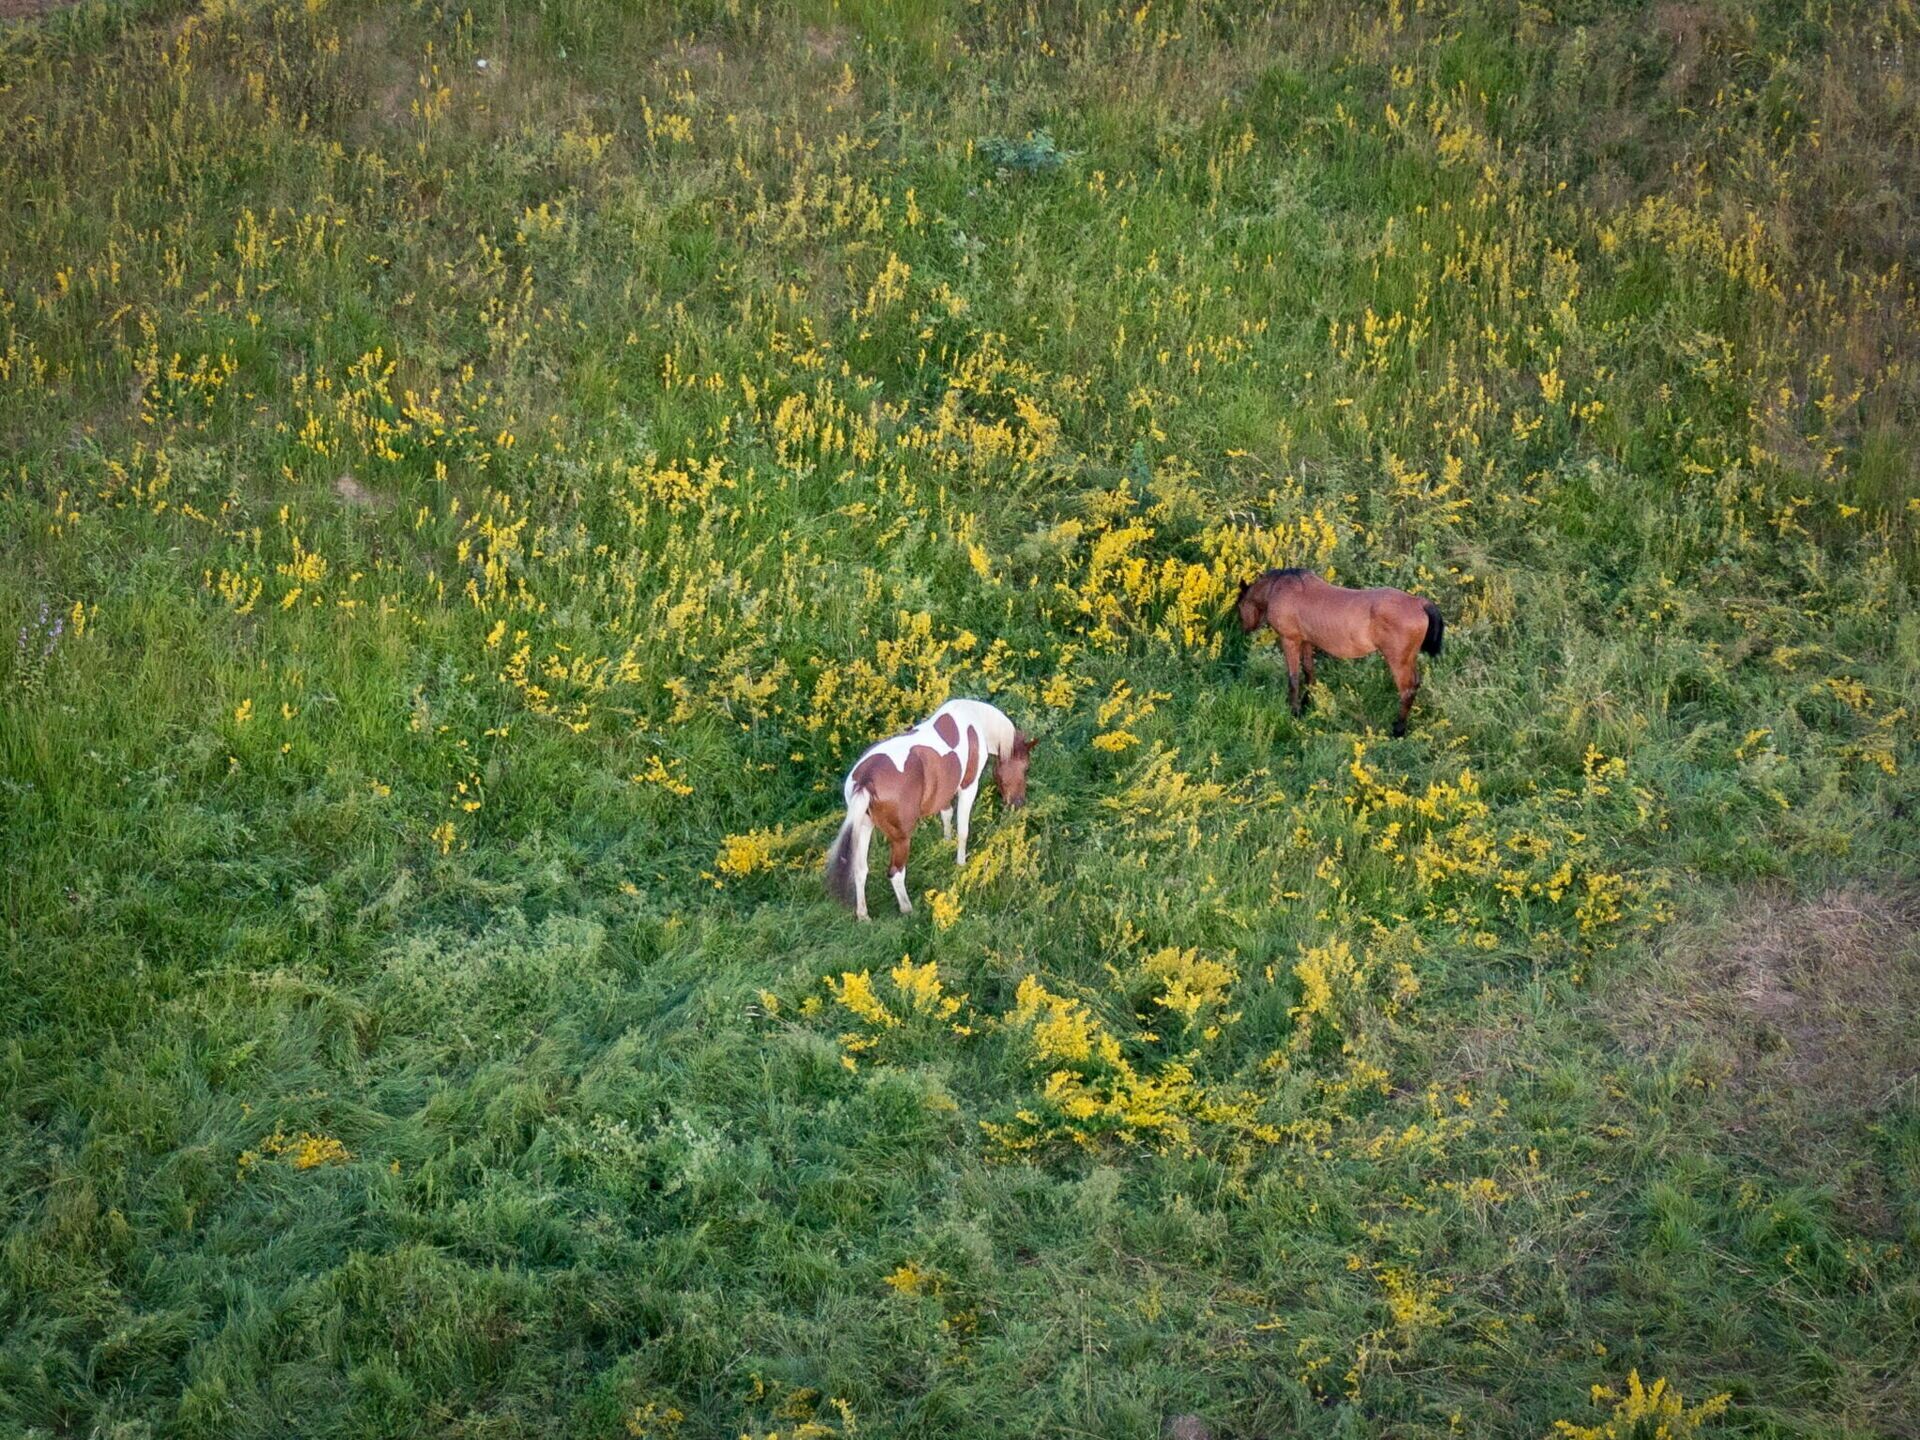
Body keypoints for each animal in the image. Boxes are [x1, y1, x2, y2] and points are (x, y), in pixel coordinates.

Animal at [824, 698, 1036, 920]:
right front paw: (961, 863)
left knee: (860, 870)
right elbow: (963, 830)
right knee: (896, 873)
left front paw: (946, 843)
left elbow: (946, 815)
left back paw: (864, 915)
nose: (1018, 803)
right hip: (901, 839)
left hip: (865, 827)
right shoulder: (968, 787)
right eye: (1026, 768)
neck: (974, 720)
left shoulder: (943, 791)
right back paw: (907, 909)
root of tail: (866, 779)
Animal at [1236, 568, 1445, 737]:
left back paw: (1398, 730)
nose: (1244, 630)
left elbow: (1293, 678)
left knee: (1407, 690)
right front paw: (1307, 702)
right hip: (1409, 659)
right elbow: (1309, 672)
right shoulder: (1306, 641)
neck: (1278, 588)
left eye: (1239, 606)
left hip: (1398, 661)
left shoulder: (1290, 641)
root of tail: (1418, 602)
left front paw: (1295, 711)